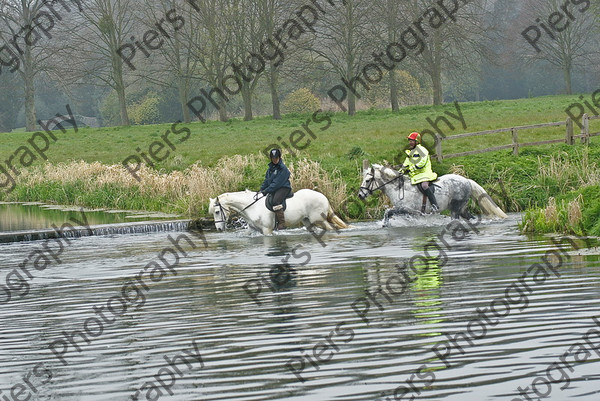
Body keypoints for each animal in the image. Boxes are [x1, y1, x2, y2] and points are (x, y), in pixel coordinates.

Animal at [209, 188, 346, 234]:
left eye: (217, 212)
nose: (219, 229)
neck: (252, 207)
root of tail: (323, 197)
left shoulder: (267, 230)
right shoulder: (253, 230)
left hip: (319, 220)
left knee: (331, 228)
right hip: (308, 222)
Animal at [358, 161, 508, 220]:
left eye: (367, 180)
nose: (360, 195)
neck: (400, 189)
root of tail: (466, 181)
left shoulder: (409, 210)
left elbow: (388, 212)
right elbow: (388, 214)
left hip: (456, 209)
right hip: (462, 208)